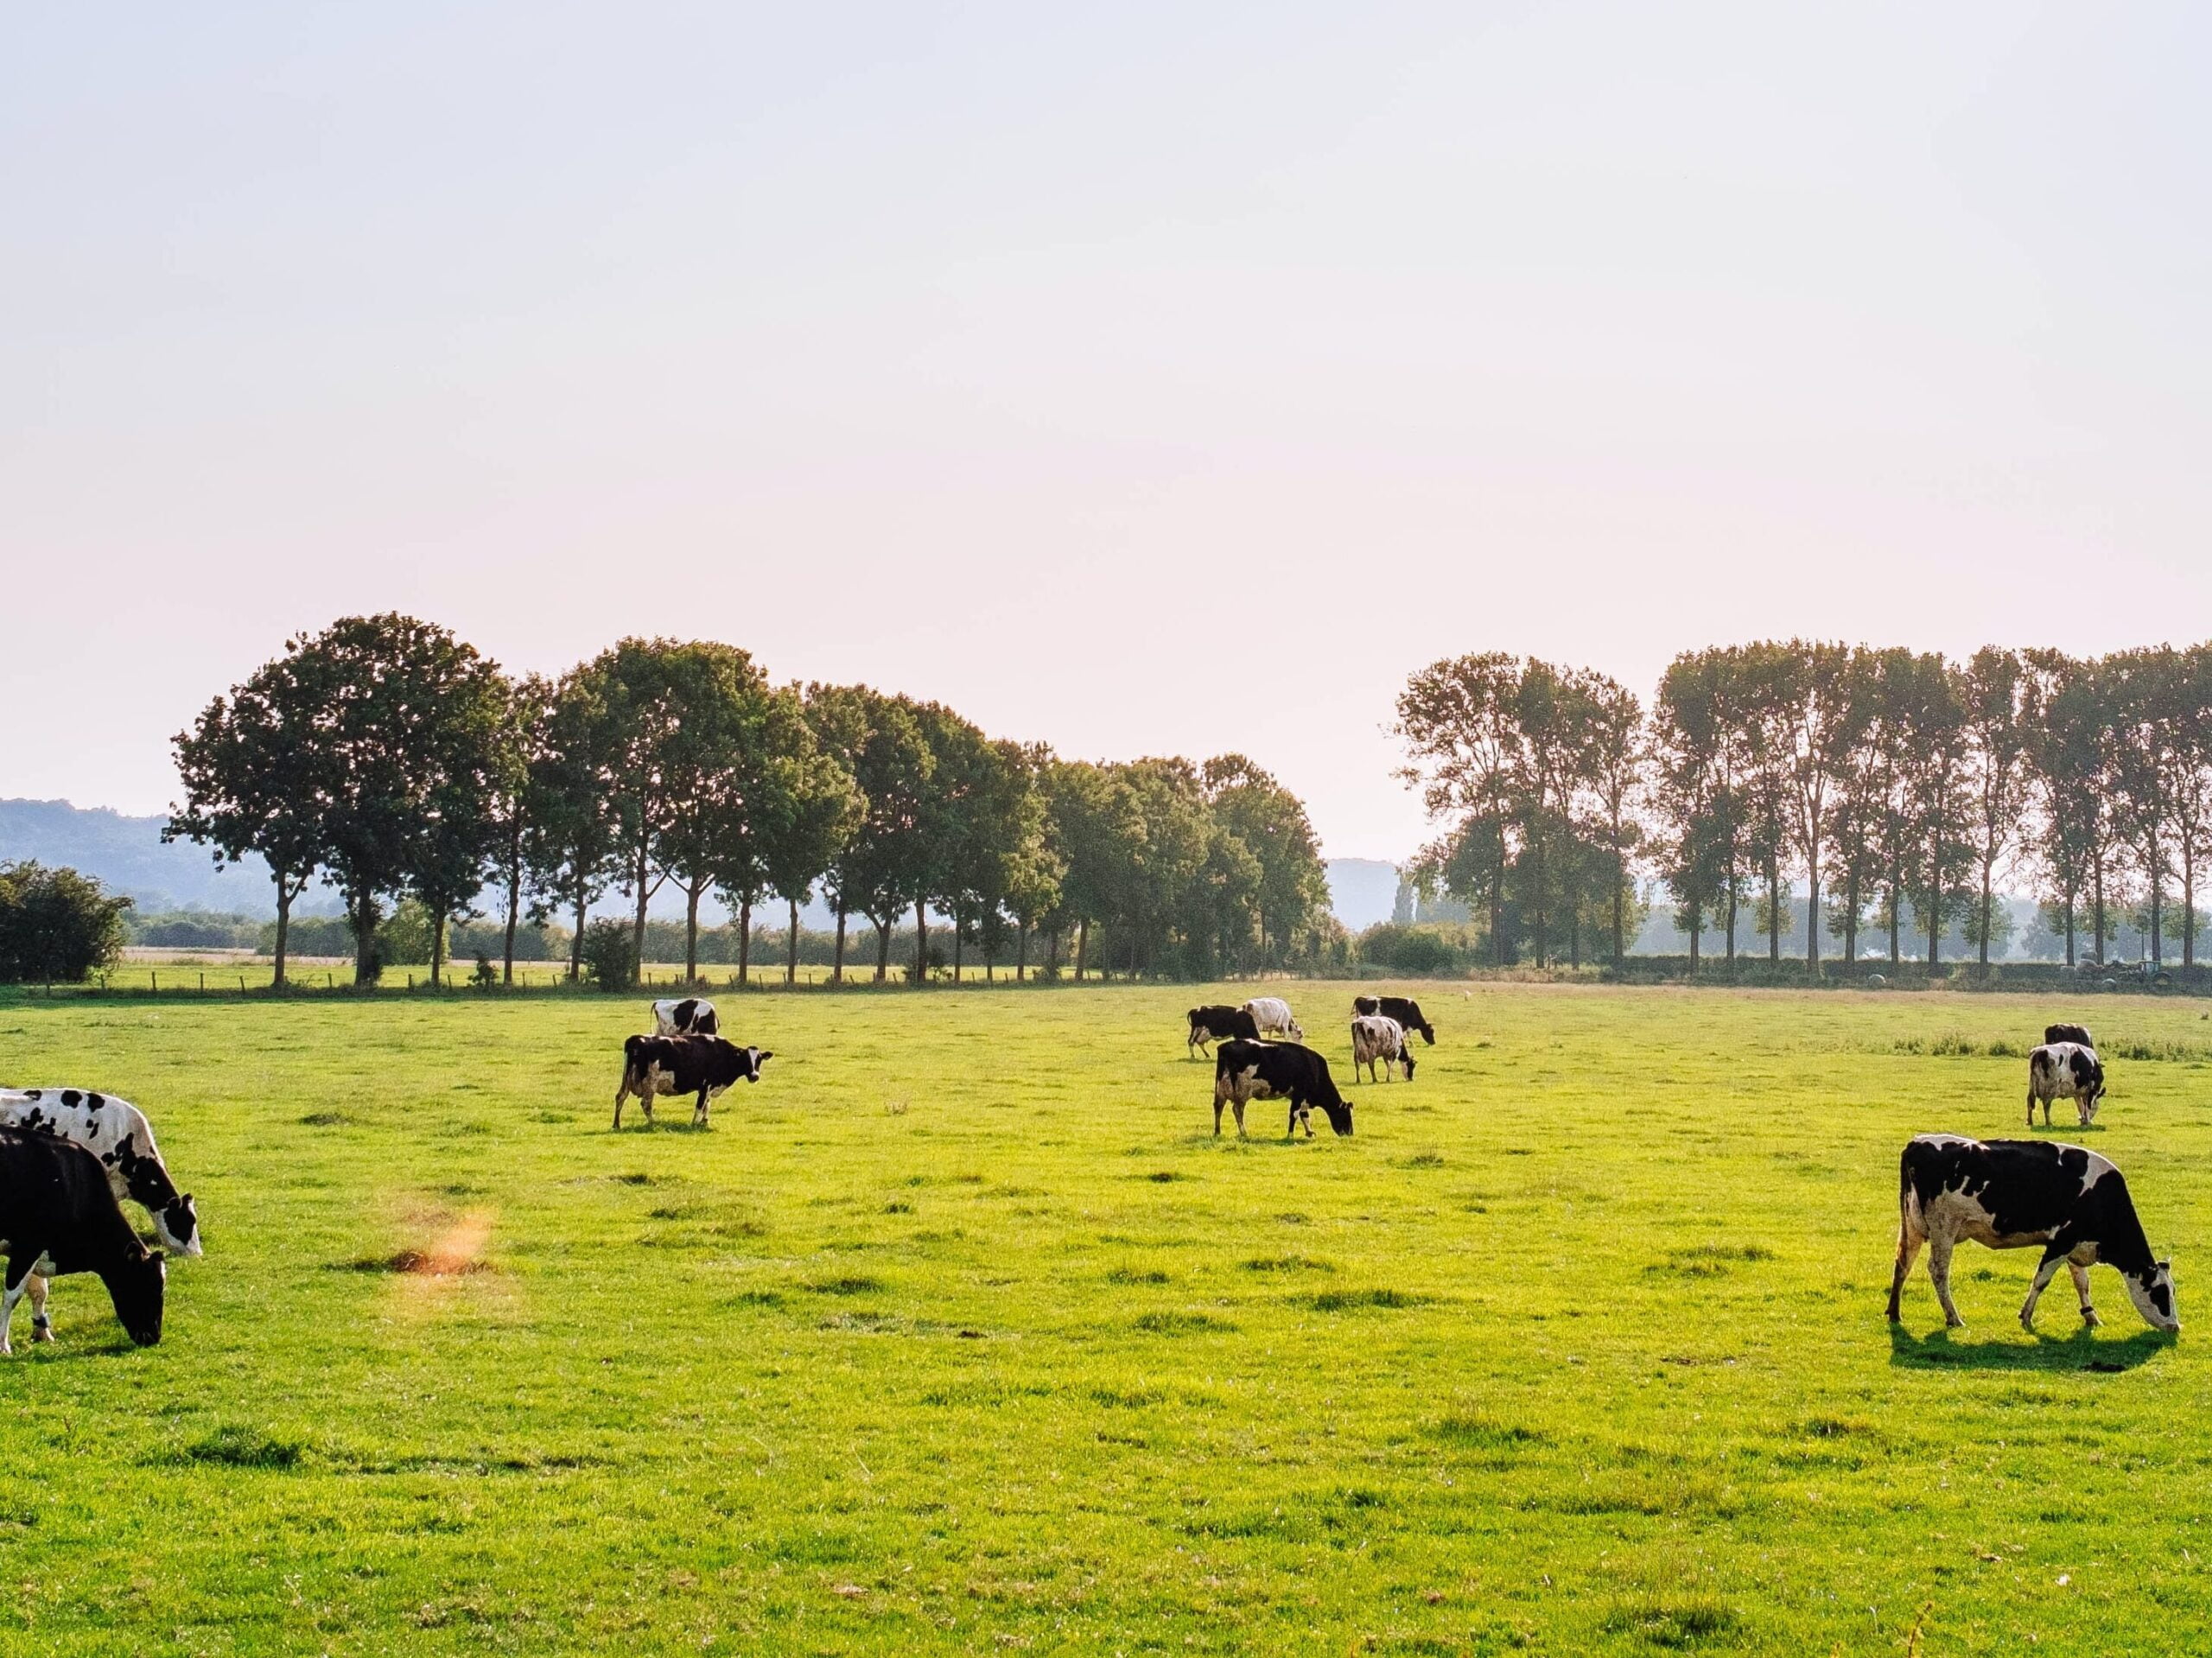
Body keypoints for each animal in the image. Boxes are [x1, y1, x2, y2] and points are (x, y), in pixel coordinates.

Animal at [0, 1132, 163, 1352]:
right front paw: (3, 1345)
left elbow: (39, 1291)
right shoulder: (28, 1247)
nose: (154, 1337)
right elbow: (13, 1297)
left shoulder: (31, 1252)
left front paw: (42, 1333)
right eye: (149, 1285)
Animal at [610, 1034, 774, 1140]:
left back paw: (616, 1125)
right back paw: (654, 1124)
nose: (755, 1076)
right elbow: (700, 1106)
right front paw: (694, 1124)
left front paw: (705, 1122)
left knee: (620, 1097)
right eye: (746, 1059)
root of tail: (636, 1038)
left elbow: (707, 1105)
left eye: (759, 1060)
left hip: (626, 1080)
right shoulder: (706, 1085)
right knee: (646, 1105)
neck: (724, 1055)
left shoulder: (709, 1087)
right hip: (650, 1083)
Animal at [1211, 1039, 1344, 1140]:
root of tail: (1224, 1047)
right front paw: (1290, 1136)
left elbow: (1304, 1115)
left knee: (1219, 1108)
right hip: (1242, 1092)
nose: (1348, 1133)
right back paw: (1244, 1133)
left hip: (1222, 1090)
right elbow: (1294, 1115)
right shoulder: (1299, 1095)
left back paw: (1218, 1132)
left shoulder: (1301, 1098)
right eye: (1346, 1114)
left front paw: (1309, 1132)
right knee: (1237, 1110)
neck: (1315, 1069)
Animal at [1885, 1132, 2177, 1335]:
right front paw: (2026, 1316)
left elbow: (2081, 1282)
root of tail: (1917, 1142)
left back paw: (1894, 1313)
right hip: (1943, 1228)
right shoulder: (2061, 1241)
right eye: (2161, 1292)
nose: (2176, 1327)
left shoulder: (2076, 1244)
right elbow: (2041, 1280)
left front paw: (2091, 1317)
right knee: (1938, 1270)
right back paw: (1953, 1317)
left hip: (1912, 1226)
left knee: (1903, 1263)